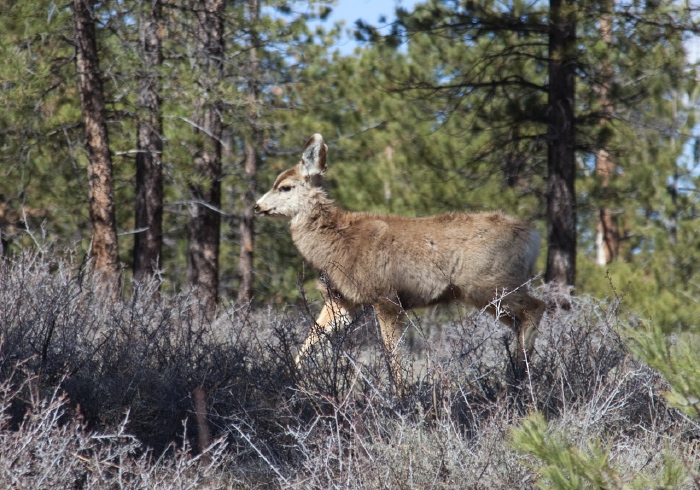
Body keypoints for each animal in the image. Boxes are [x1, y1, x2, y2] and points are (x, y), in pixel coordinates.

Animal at [254, 134, 544, 382]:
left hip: (490, 284)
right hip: (489, 292)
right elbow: (310, 340)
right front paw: (287, 380)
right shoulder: (342, 298)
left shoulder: (385, 295)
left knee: (537, 307)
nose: (257, 206)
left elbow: (393, 356)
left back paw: (522, 374)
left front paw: (401, 395)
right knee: (521, 320)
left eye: (285, 187)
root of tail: (532, 236)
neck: (338, 241)